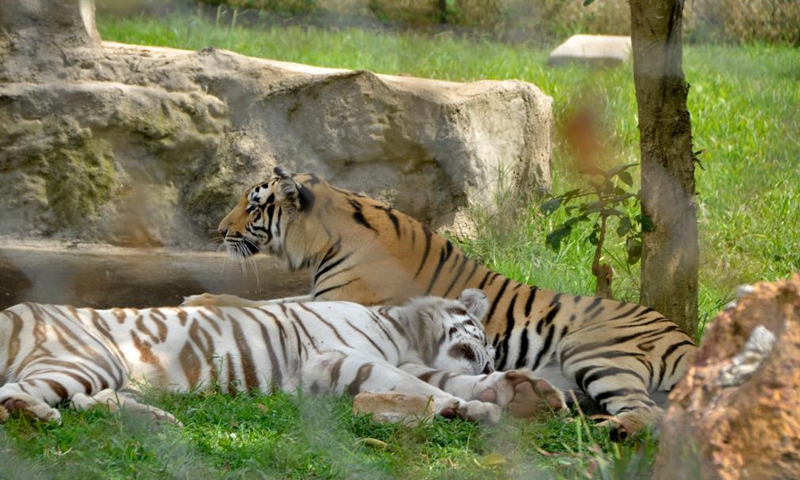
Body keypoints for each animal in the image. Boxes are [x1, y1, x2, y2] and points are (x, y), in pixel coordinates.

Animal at [184, 167, 696, 436]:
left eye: (253, 206)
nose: (219, 231)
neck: (327, 237)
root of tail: (686, 337)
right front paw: (201, 296)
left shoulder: (339, 299)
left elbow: (268, 303)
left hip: (595, 350)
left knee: (649, 413)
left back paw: (610, 430)